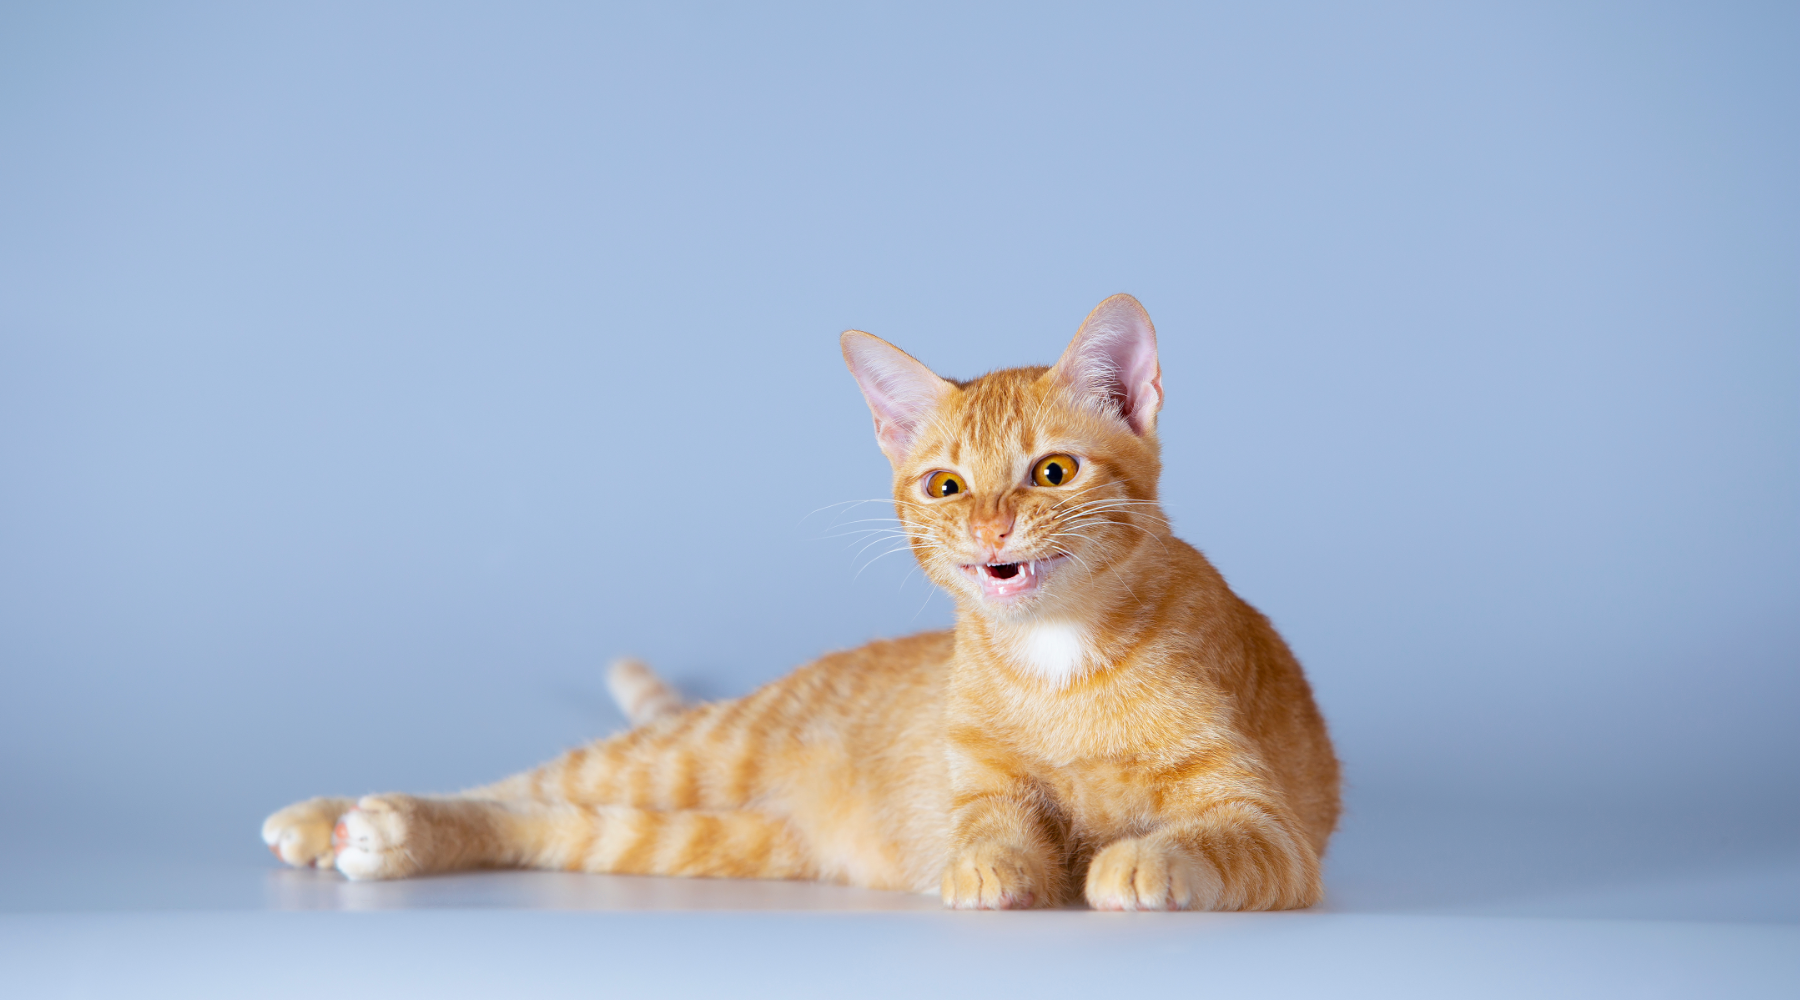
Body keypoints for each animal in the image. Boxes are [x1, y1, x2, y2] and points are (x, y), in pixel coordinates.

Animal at [262, 293, 1339, 910]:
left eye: (1053, 472)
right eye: (947, 486)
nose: (992, 530)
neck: (1058, 657)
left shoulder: (1272, 824)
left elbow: (1212, 834)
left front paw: (1142, 858)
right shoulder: (983, 790)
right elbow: (995, 830)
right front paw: (995, 866)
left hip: (706, 839)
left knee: (559, 822)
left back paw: (378, 834)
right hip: (693, 756)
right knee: (519, 783)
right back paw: (338, 817)